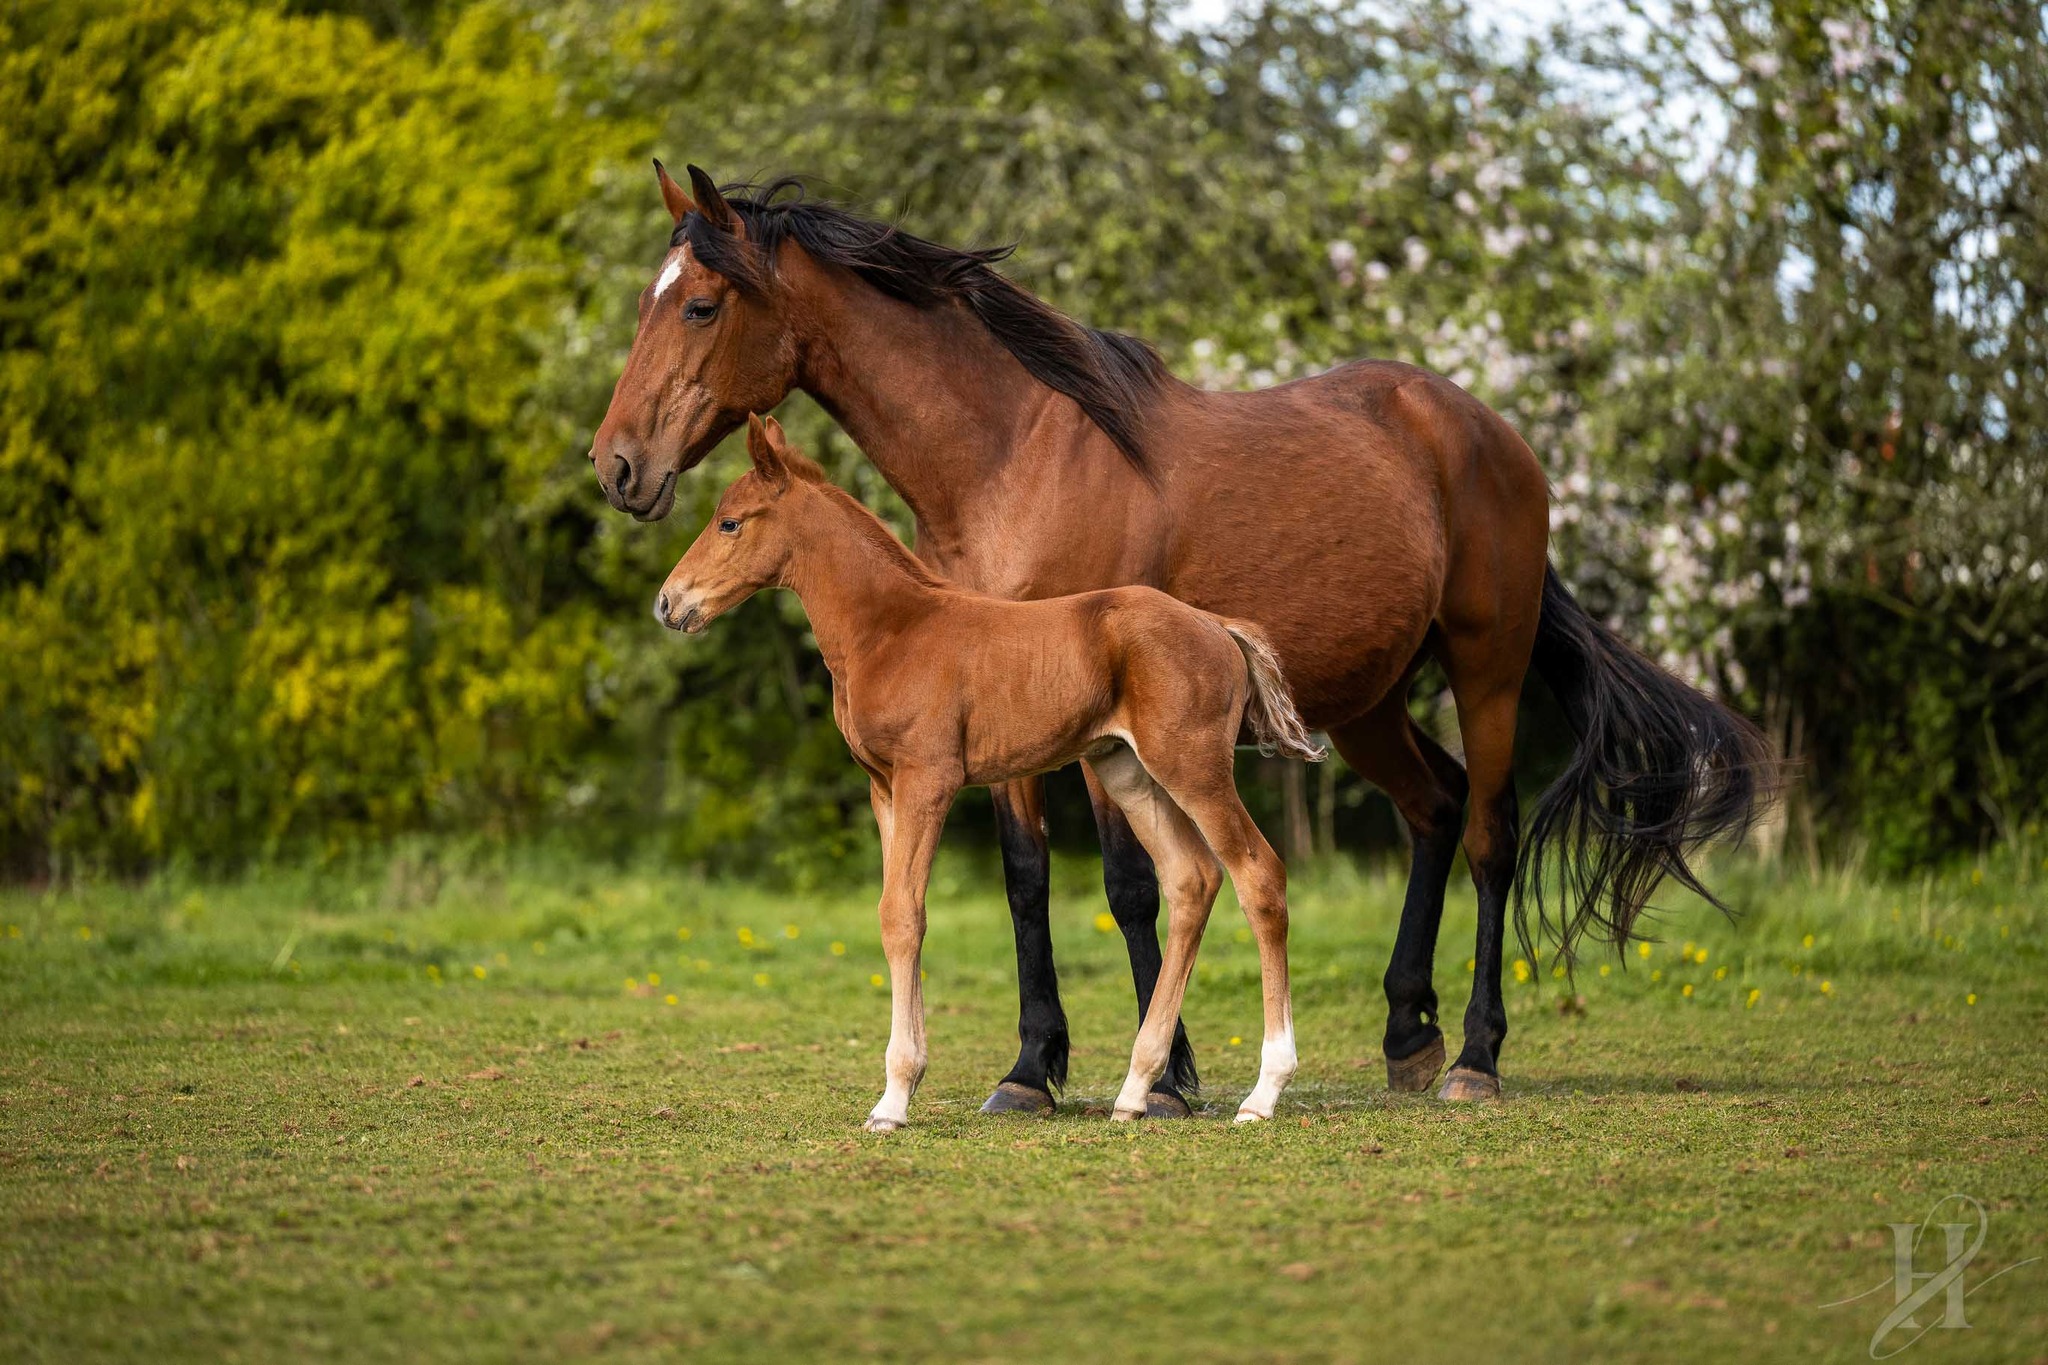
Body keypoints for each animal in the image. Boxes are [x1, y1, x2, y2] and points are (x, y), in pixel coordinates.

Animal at [658, 414, 1325, 1129]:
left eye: (730, 522)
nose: (669, 603)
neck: (890, 629)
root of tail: (1217, 625)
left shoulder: (928, 780)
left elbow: (904, 914)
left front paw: (894, 1098)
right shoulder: (884, 788)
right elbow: (897, 916)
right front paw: (899, 1086)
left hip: (1193, 768)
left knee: (1258, 876)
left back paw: (1263, 1092)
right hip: (1129, 773)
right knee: (1191, 881)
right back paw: (1134, 1090)